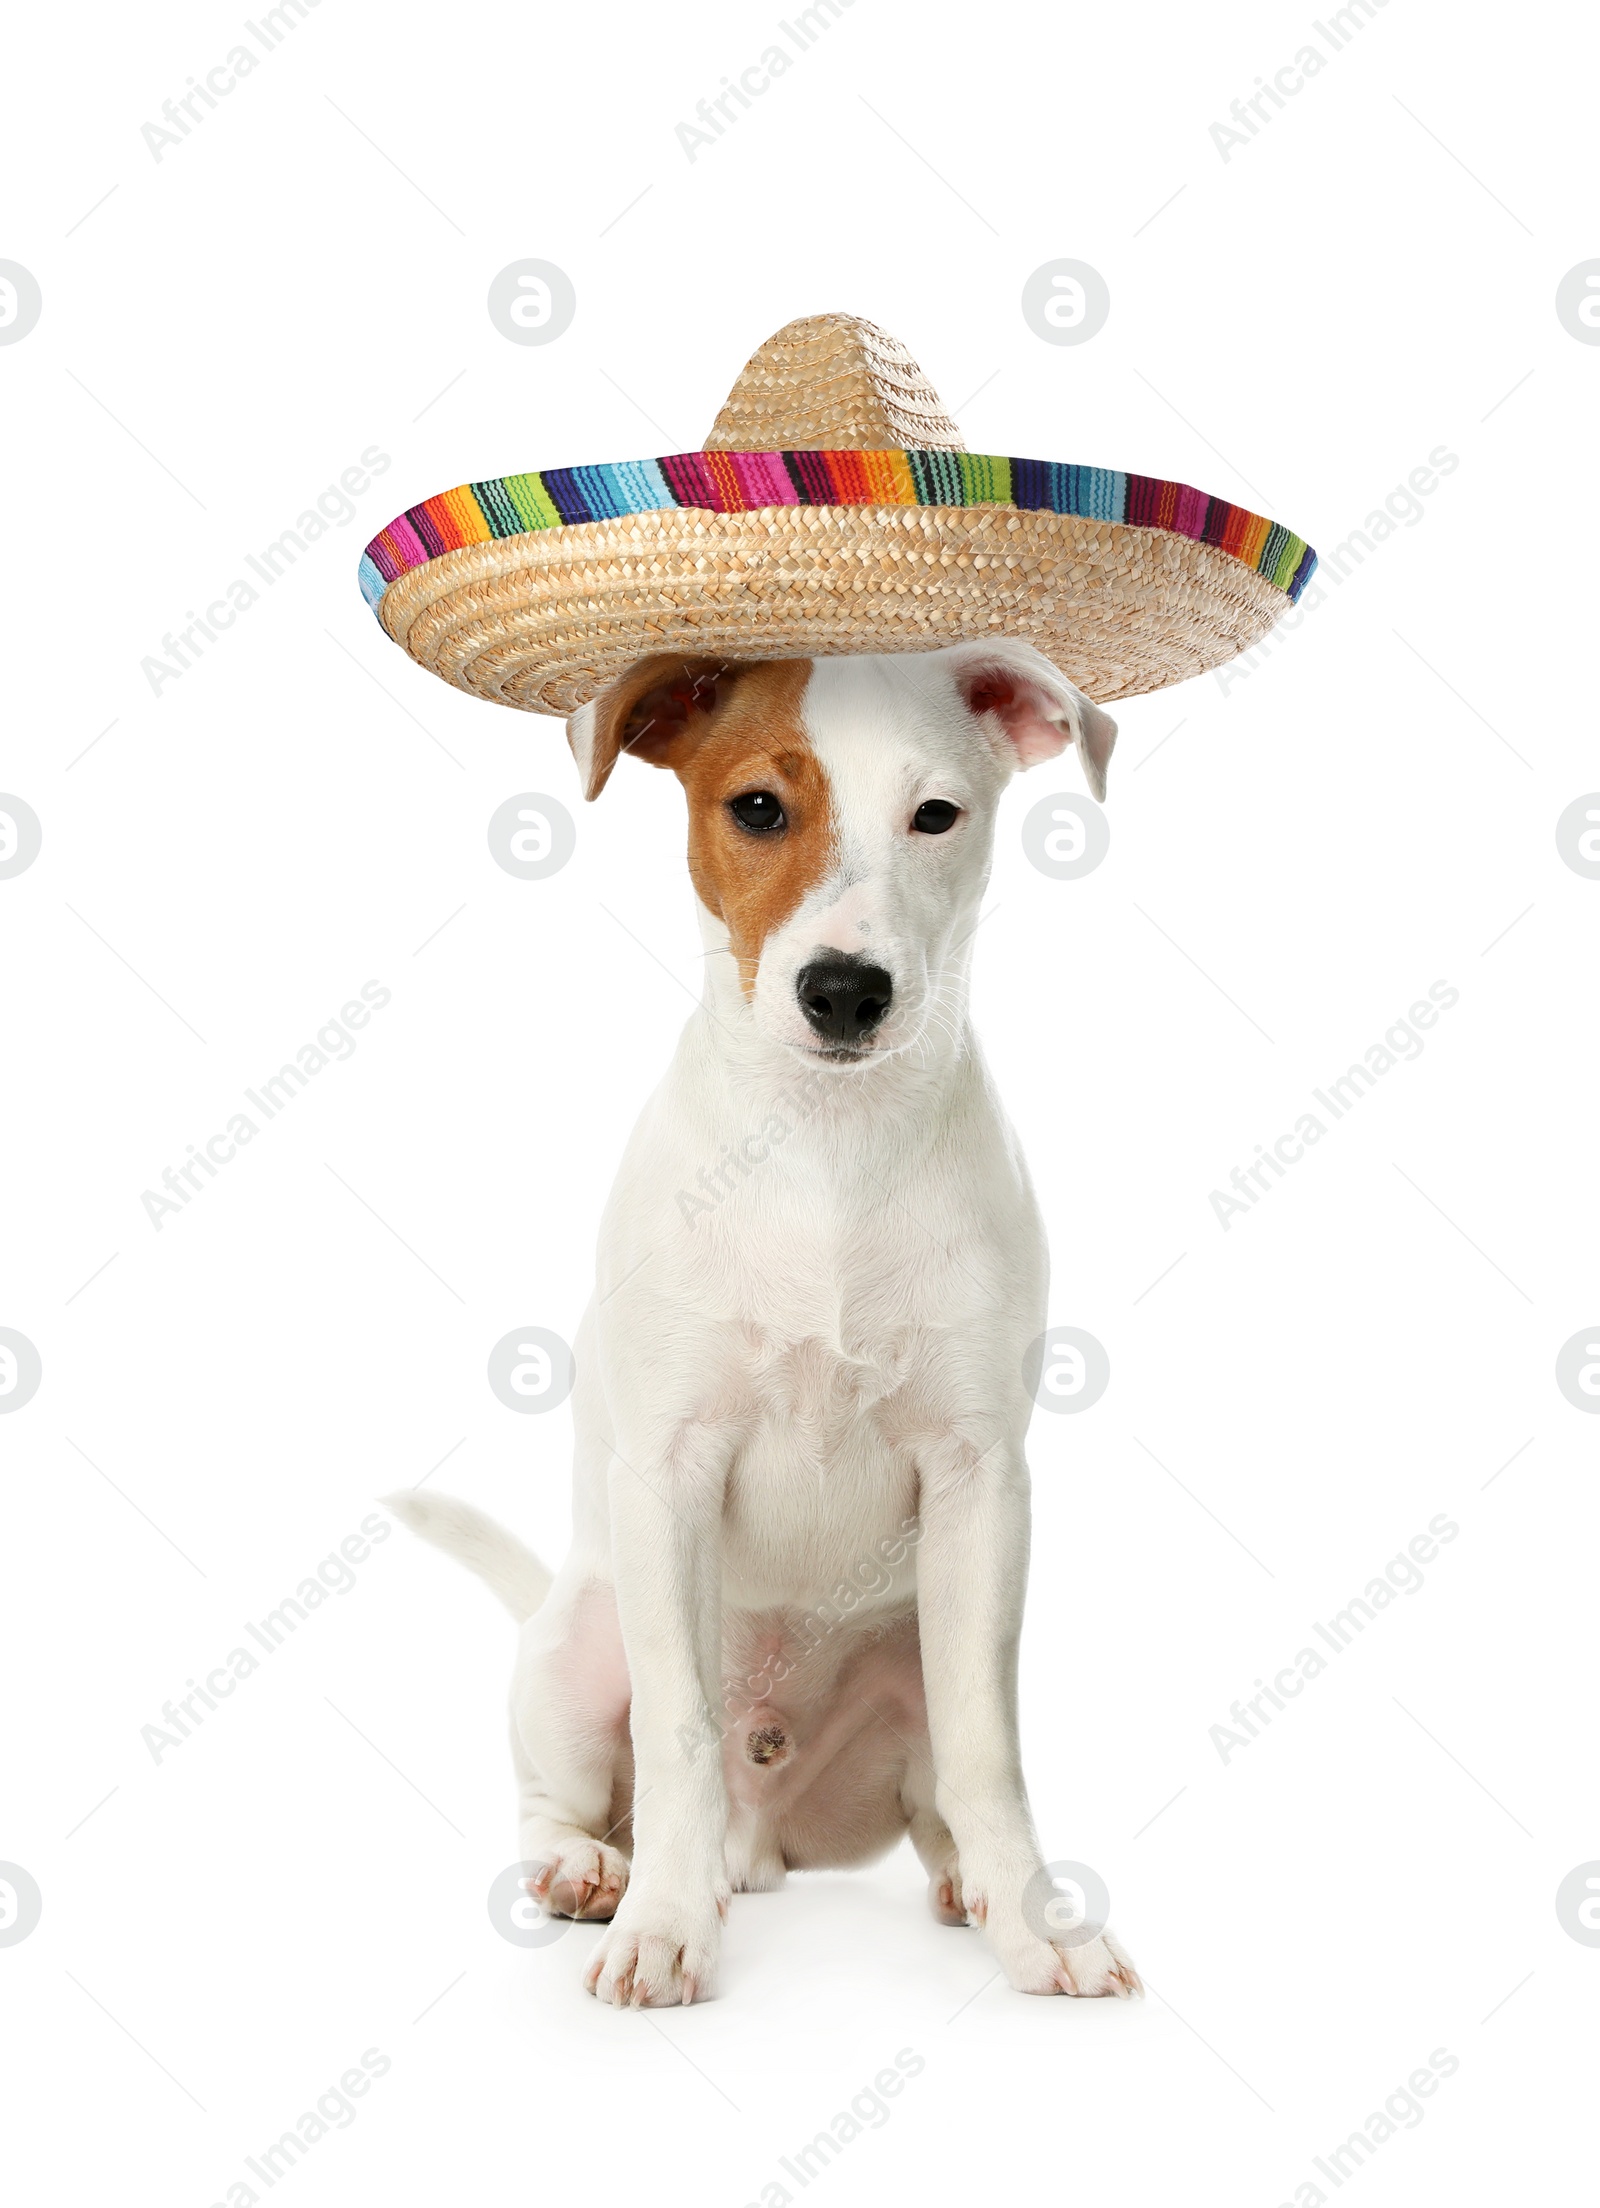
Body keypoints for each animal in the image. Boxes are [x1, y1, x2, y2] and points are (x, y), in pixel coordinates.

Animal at [386, 635, 1138, 2004]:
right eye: (756, 809)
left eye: (936, 815)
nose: (845, 991)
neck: (828, 1148)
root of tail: (765, 1839)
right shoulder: (668, 1473)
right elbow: (678, 1728)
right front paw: (662, 1930)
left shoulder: (980, 1482)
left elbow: (986, 1744)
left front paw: (1036, 1923)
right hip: (576, 1639)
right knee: (564, 1791)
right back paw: (593, 1871)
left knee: (937, 1793)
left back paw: (958, 1882)